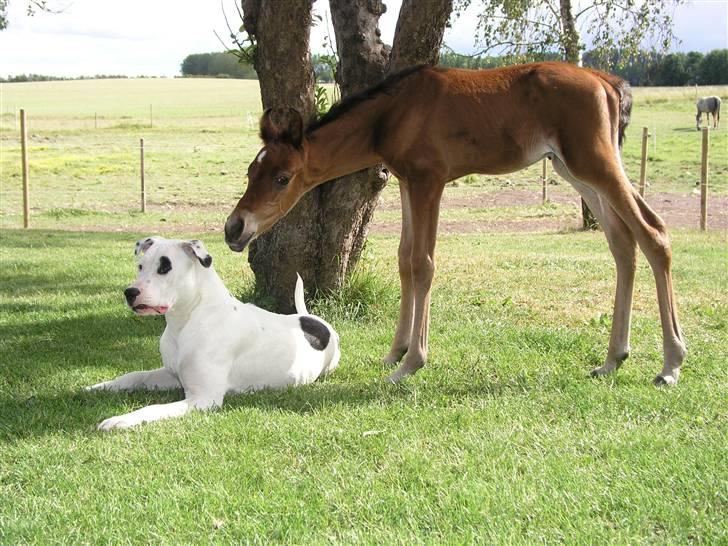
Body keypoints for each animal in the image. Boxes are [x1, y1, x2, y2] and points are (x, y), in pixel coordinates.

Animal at [87, 234, 342, 430]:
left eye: (165, 267)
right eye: (140, 266)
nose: (130, 292)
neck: (186, 321)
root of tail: (311, 318)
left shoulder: (203, 398)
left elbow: (153, 407)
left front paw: (120, 420)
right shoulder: (170, 374)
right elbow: (135, 375)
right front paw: (100, 387)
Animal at [226, 61, 688, 384]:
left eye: (283, 178)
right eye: (251, 171)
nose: (235, 228)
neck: (393, 113)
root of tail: (606, 81)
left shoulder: (429, 180)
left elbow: (423, 263)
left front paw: (411, 362)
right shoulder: (407, 181)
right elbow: (404, 260)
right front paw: (395, 351)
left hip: (594, 162)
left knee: (653, 233)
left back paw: (671, 363)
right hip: (573, 169)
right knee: (622, 242)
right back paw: (613, 358)